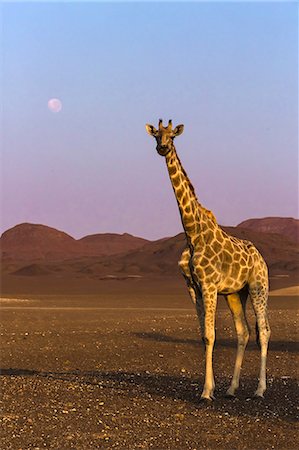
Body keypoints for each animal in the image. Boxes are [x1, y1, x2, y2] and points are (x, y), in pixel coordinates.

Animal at [145, 119, 272, 400]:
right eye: (156, 135)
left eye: (172, 136)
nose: (162, 148)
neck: (192, 233)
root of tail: (261, 258)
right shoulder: (193, 286)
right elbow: (204, 335)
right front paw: (212, 388)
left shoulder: (210, 285)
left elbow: (212, 335)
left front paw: (205, 392)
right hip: (236, 293)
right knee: (244, 332)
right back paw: (231, 389)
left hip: (258, 287)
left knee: (264, 331)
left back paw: (259, 389)